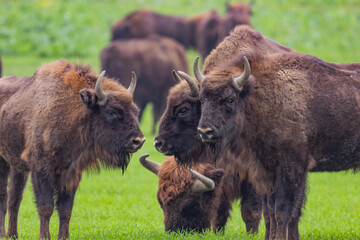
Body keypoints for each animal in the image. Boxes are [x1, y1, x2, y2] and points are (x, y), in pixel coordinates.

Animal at [0, 59, 145, 238]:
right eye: (112, 112)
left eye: (134, 110)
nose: (138, 140)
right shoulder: (41, 170)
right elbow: (46, 207)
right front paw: (45, 237)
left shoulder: (71, 173)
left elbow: (65, 210)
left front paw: (63, 237)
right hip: (3, 162)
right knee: (4, 198)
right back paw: (3, 235)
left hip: (17, 167)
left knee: (14, 199)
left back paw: (13, 235)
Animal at [146, 66, 262, 233]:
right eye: (160, 201)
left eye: (183, 110)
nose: (158, 143)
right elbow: (220, 213)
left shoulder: (252, 180)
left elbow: (251, 212)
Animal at [180, 25, 360, 239]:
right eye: (202, 99)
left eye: (230, 99)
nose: (205, 131)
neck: (259, 99)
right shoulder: (264, 172)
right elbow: (271, 211)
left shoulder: (291, 170)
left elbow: (282, 211)